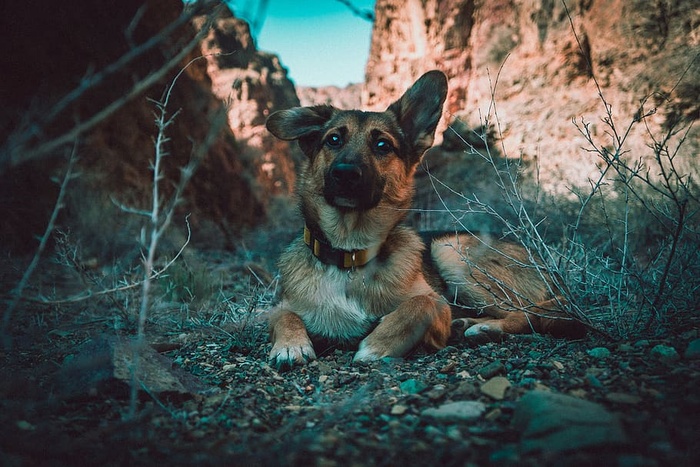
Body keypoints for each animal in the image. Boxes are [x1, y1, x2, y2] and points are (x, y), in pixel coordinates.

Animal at [266, 69, 584, 370]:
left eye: (382, 145)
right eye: (333, 139)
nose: (345, 174)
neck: (350, 256)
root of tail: (546, 266)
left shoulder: (438, 307)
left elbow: (420, 304)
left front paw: (376, 346)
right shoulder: (282, 305)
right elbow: (281, 315)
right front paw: (290, 345)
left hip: (451, 252)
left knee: (531, 312)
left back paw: (484, 328)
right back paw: (469, 324)